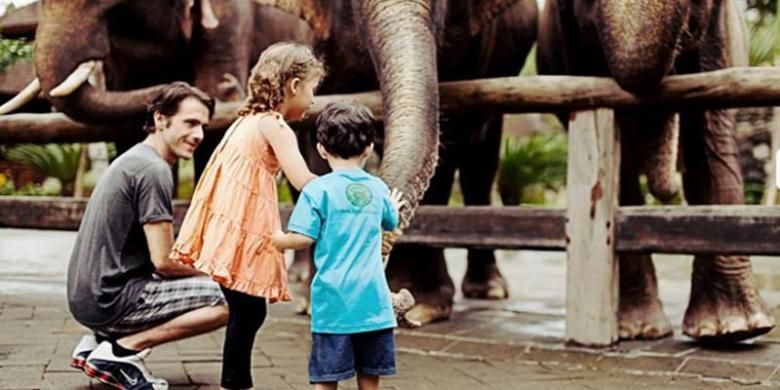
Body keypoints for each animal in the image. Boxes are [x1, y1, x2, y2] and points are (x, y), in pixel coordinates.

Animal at [258, 0, 540, 324]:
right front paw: (310, 302)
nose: (399, 300)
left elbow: (448, 142)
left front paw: (425, 305)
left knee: (480, 163)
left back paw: (489, 289)